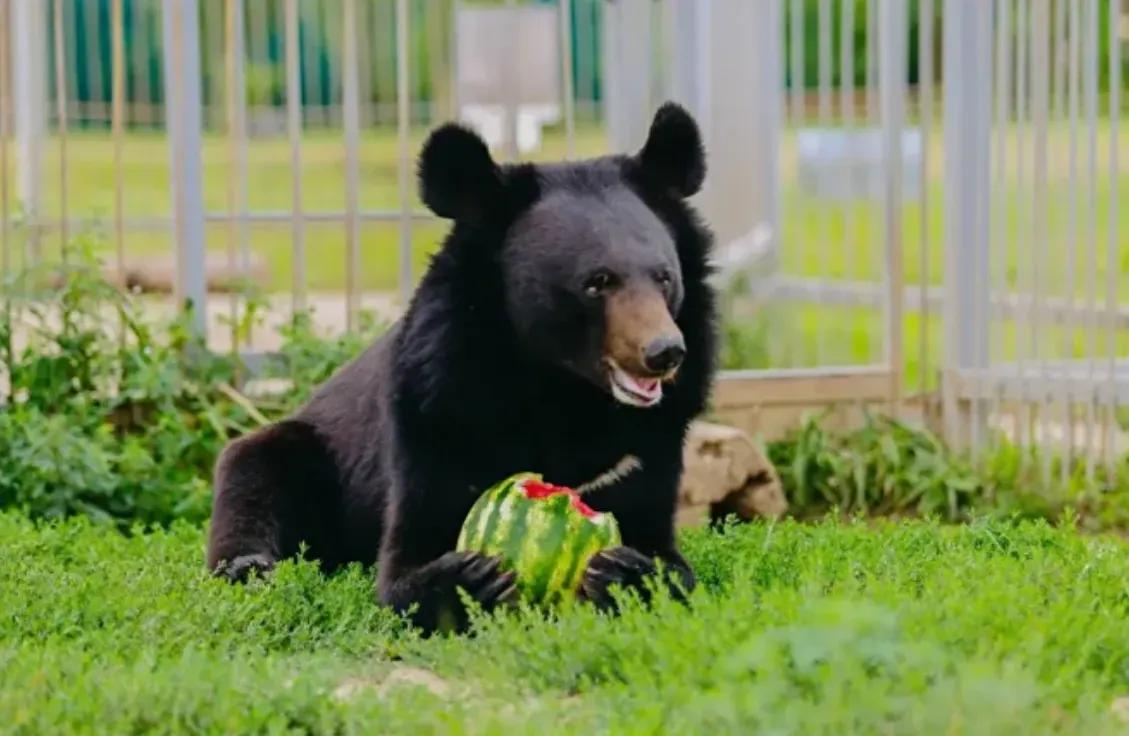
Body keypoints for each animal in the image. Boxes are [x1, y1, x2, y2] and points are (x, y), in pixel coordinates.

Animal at [205, 103, 713, 632]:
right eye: (597, 282)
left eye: (664, 277)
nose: (665, 352)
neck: (561, 386)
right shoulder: (439, 411)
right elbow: (408, 553)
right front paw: (469, 577)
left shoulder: (649, 444)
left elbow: (665, 550)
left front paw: (624, 570)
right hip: (295, 452)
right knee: (252, 476)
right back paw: (249, 566)